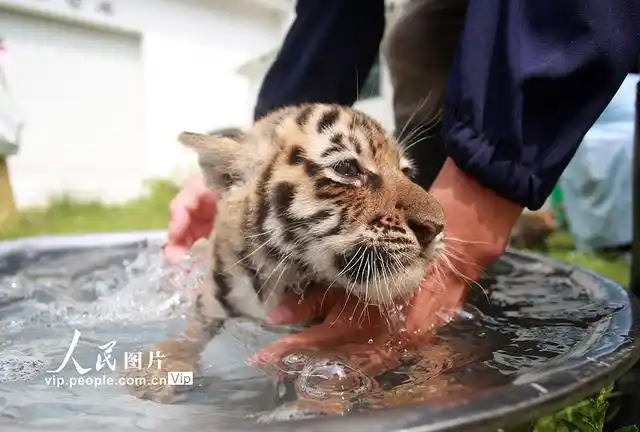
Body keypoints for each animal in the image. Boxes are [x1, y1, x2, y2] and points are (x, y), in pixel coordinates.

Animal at [123, 103, 446, 403]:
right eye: (346, 168)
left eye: (406, 172)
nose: (437, 226)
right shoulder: (211, 303)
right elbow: (191, 334)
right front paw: (154, 372)